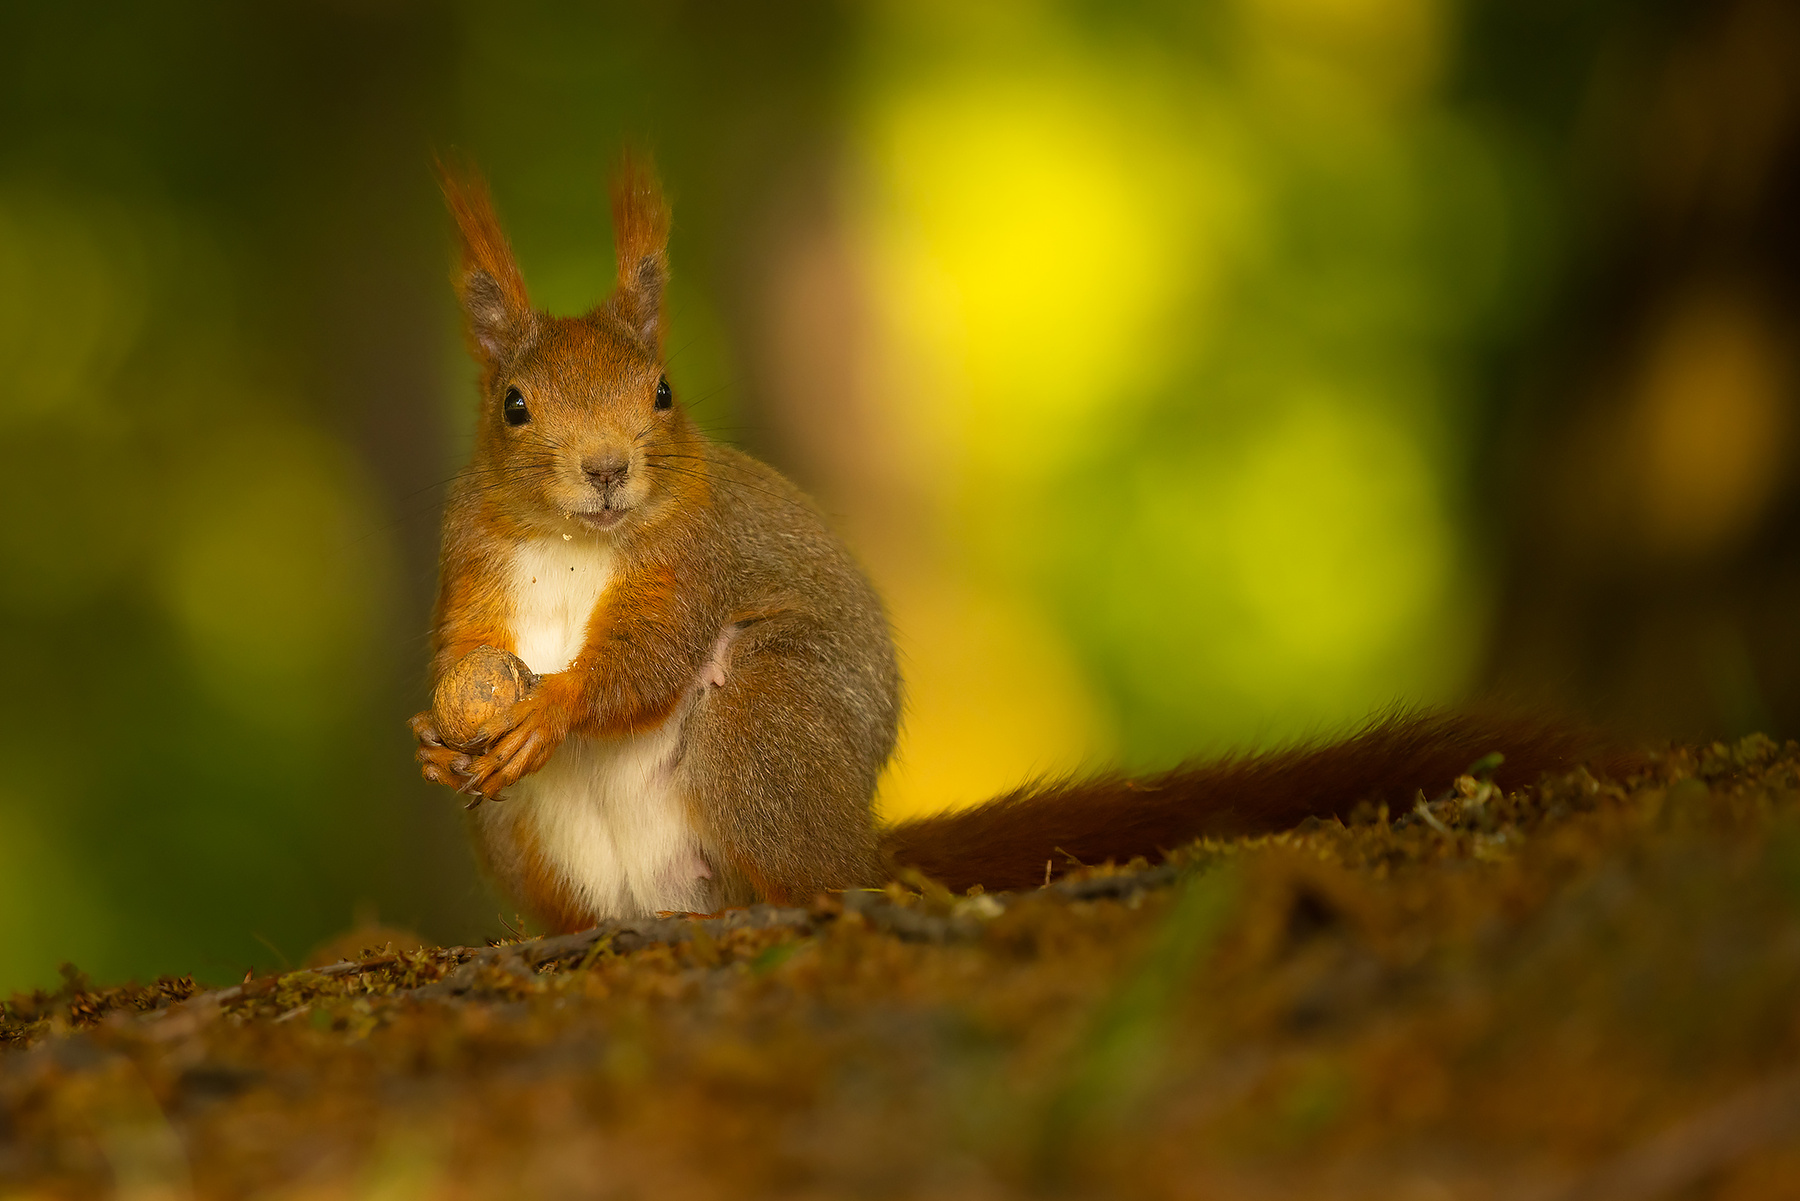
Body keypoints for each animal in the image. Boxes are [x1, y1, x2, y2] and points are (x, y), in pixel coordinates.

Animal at [411, 156, 1625, 934]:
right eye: (514, 407)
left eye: (662, 392)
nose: (608, 470)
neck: (575, 542)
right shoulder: (474, 558)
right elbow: (463, 641)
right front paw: (439, 727)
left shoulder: (698, 561)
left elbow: (648, 658)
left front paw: (556, 706)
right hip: (520, 834)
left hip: (763, 722)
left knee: (800, 862)